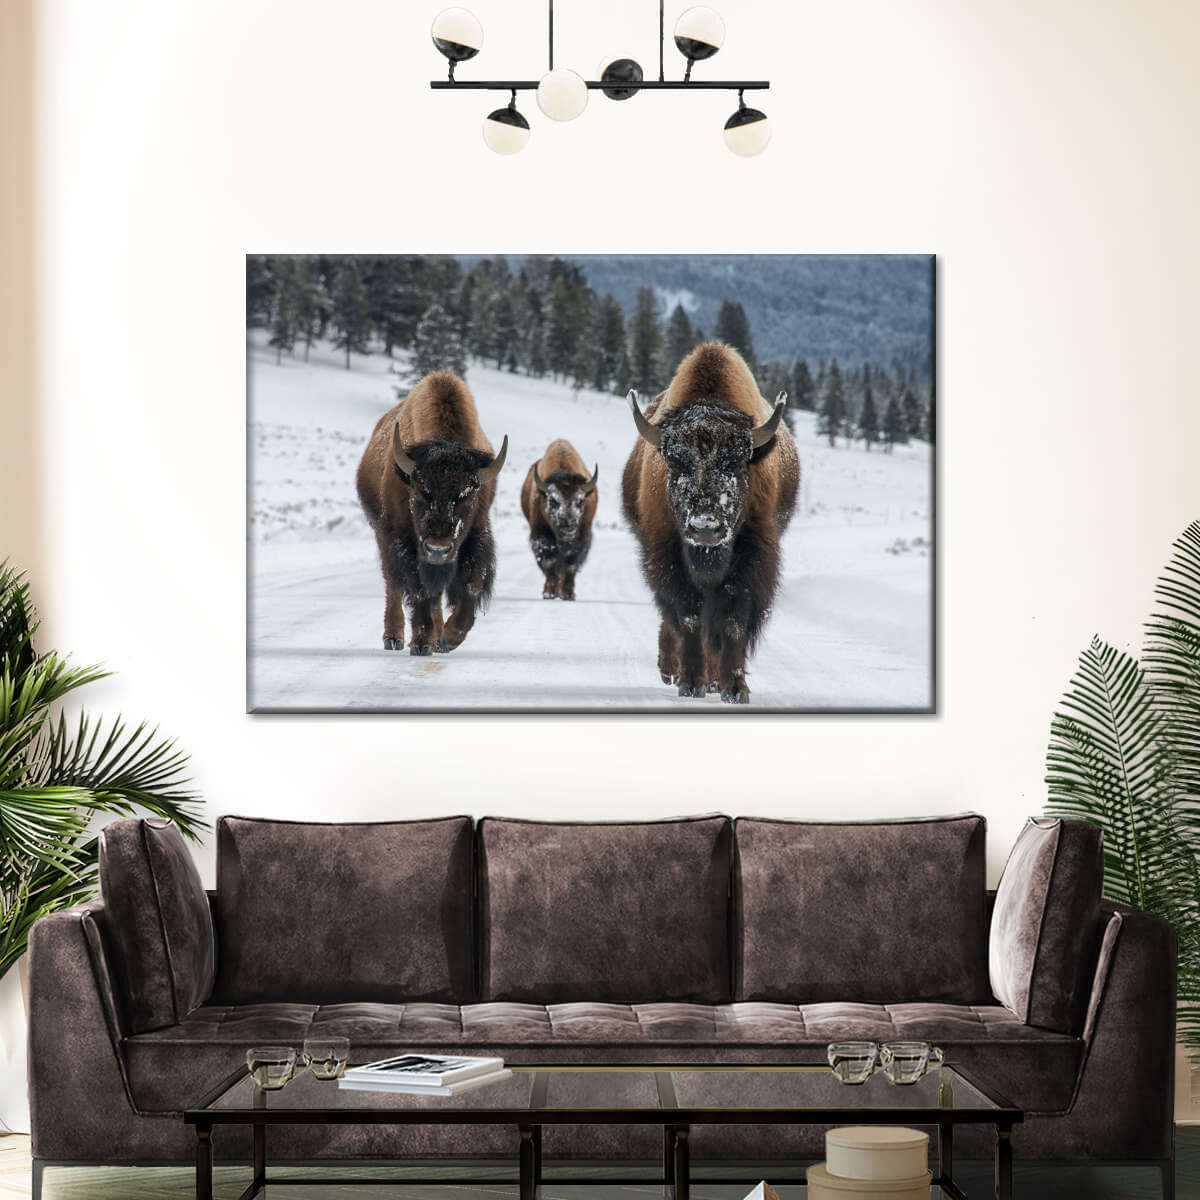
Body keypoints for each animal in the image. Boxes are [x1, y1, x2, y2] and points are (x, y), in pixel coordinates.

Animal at [356, 370, 507, 655]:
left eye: (466, 495)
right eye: (420, 491)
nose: (438, 549)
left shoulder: (476, 533)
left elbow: (471, 584)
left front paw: (449, 637)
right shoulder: (403, 539)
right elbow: (420, 590)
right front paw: (423, 642)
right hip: (382, 534)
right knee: (393, 583)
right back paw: (394, 638)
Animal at [520, 439, 598, 600]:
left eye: (580, 501)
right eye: (553, 501)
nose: (568, 526)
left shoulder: (581, 539)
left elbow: (570, 565)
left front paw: (567, 594)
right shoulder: (541, 536)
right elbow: (550, 564)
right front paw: (549, 593)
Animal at [621, 342, 799, 703]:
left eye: (737, 463)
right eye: (675, 462)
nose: (705, 528)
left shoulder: (751, 561)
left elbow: (731, 621)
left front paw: (734, 688)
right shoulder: (667, 557)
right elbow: (689, 619)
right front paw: (691, 683)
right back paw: (673, 671)